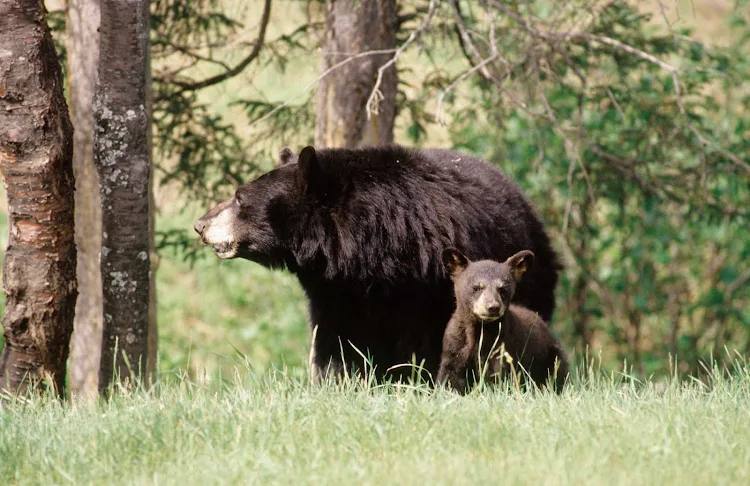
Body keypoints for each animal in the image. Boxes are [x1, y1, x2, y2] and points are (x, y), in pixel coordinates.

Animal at [194, 145, 561, 382]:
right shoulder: (334, 289)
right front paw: (339, 380)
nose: (200, 224)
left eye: (239, 198)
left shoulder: (429, 282)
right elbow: (335, 340)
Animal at [437, 248, 568, 394]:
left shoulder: (504, 348)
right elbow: (450, 376)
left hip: (552, 356)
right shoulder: (454, 347)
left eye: (502, 289)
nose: (492, 307)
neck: (479, 330)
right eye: (476, 287)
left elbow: (500, 377)